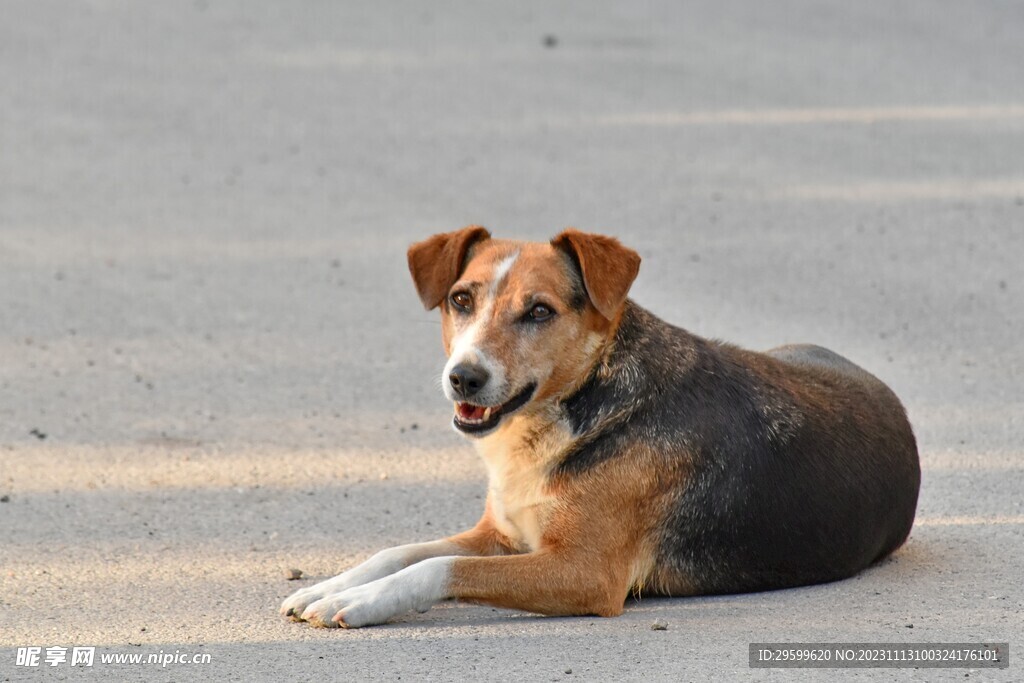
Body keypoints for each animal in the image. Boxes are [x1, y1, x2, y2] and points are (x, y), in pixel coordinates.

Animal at [280, 227, 921, 626]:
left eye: (539, 311)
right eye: (460, 300)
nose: (463, 377)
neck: (574, 406)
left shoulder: (583, 573)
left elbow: (436, 567)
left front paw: (362, 602)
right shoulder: (503, 535)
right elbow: (397, 551)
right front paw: (328, 585)